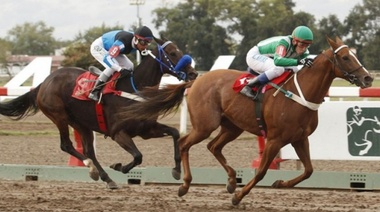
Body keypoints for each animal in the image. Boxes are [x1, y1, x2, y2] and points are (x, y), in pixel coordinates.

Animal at [0, 36, 199, 189]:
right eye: (172, 53)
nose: (193, 74)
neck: (134, 89)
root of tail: (45, 82)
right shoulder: (118, 133)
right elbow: (138, 156)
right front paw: (119, 167)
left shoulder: (146, 129)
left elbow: (175, 133)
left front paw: (176, 170)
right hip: (59, 116)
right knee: (67, 145)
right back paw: (92, 168)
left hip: (81, 123)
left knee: (89, 150)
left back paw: (105, 178)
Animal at [116, 37, 374, 205]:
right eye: (345, 57)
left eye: (355, 55)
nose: (368, 78)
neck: (300, 93)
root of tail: (196, 79)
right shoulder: (274, 139)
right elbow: (260, 171)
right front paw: (238, 197)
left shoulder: (300, 138)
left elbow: (309, 170)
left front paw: (279, 184)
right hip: (205, 125)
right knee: (185, 143)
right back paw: (185, 184)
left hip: (233, 127)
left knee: (213, 146)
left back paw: (231, 180)